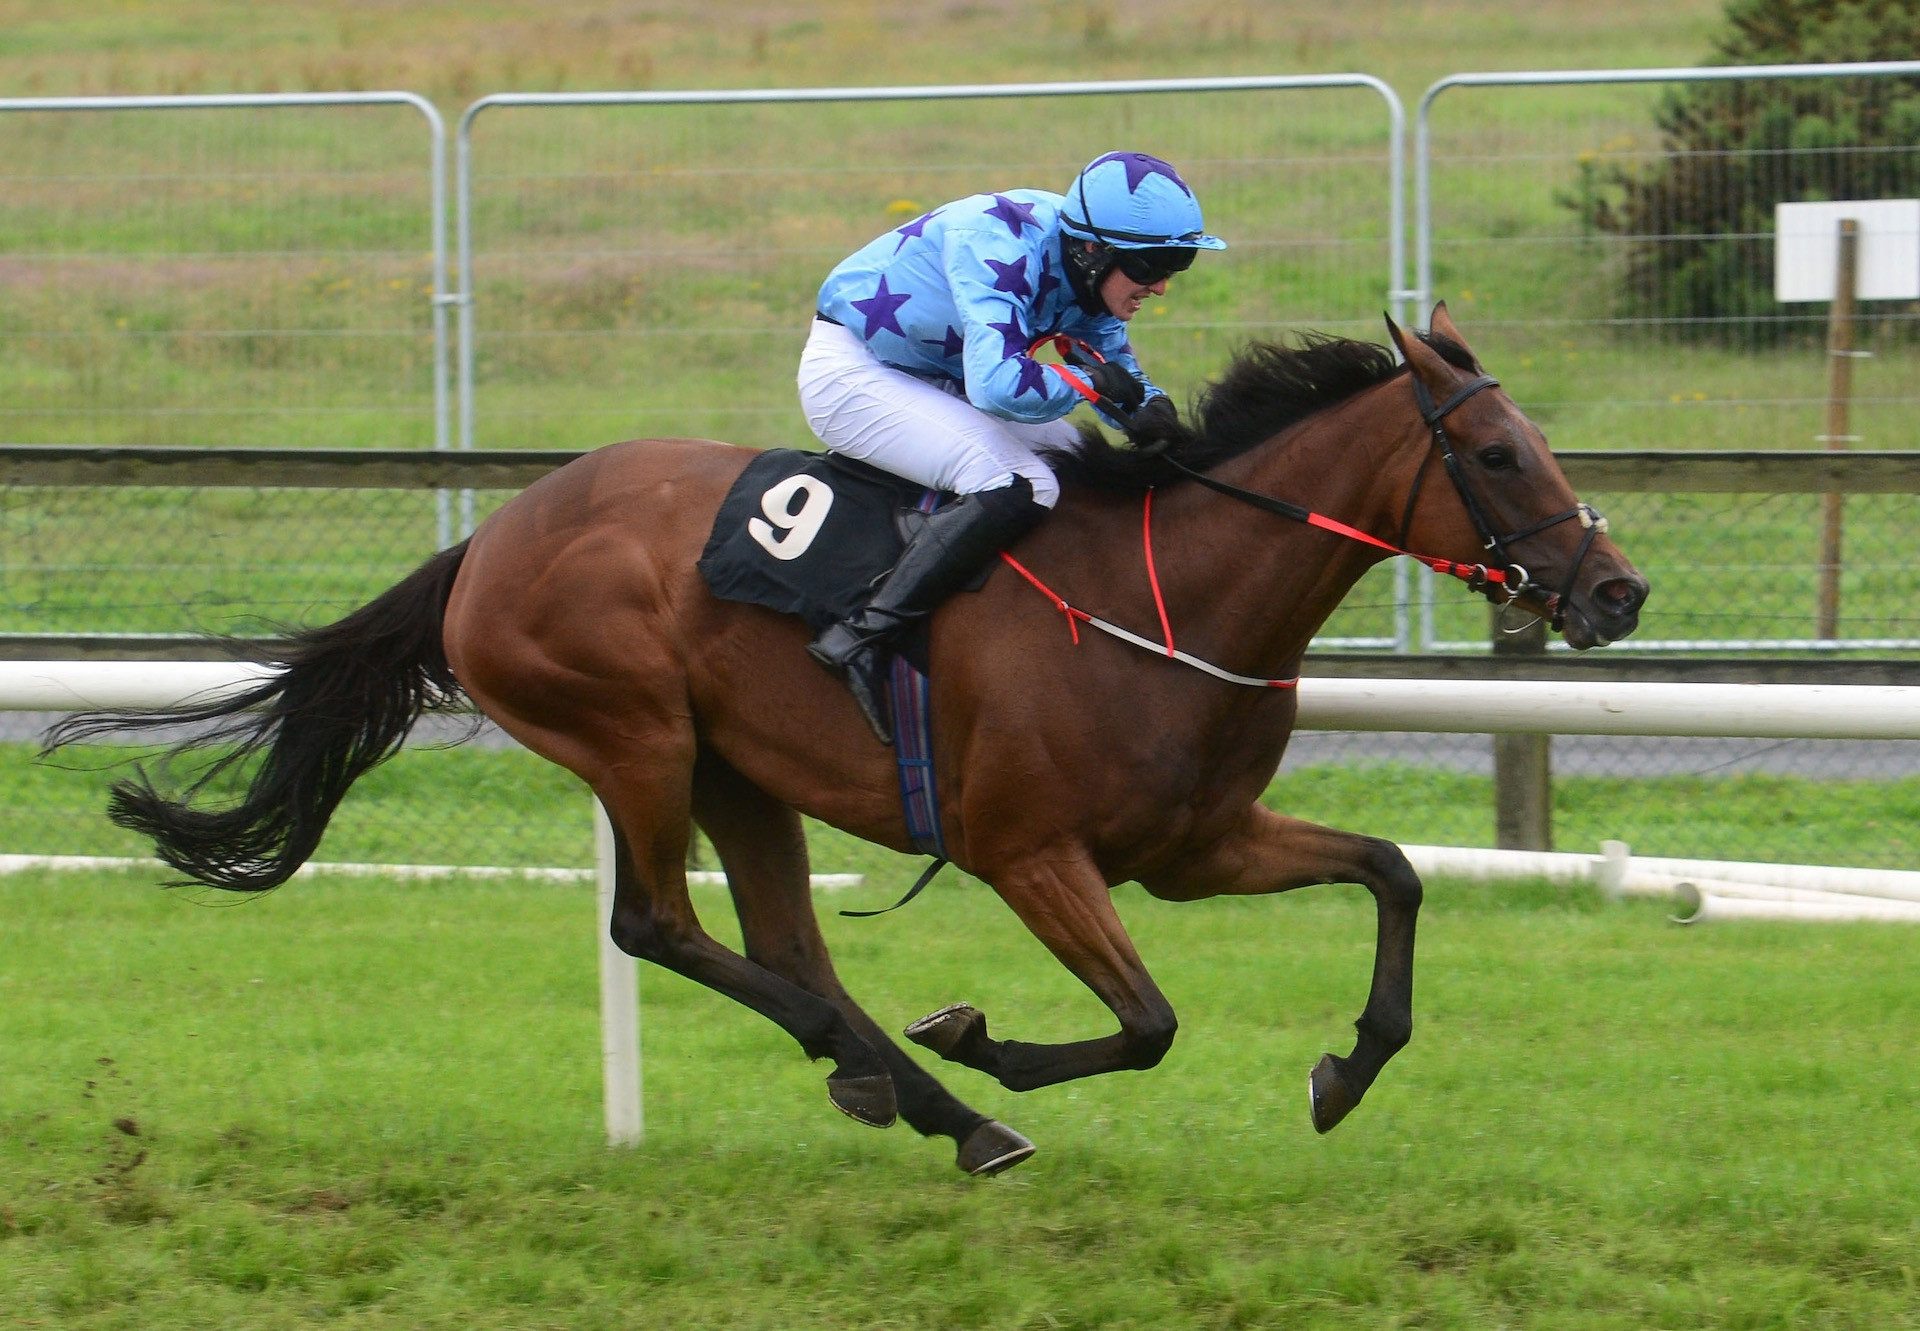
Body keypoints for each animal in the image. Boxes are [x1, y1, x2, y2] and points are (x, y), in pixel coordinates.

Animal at [48, 303, 1651, 1175]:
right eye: (1495, 451)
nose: (1615, 590)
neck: (1171, 593)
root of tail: (488, 538)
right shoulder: (1027, 850)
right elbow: (1147, 1021)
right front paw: (984, 1037)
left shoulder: (1196, 844)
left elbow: (1393, 869)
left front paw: (1347, 1068)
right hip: (632, 735)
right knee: (659, 924)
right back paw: (920, 1082)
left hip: (738, 769)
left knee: (783, 944)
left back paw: (917, 1097)